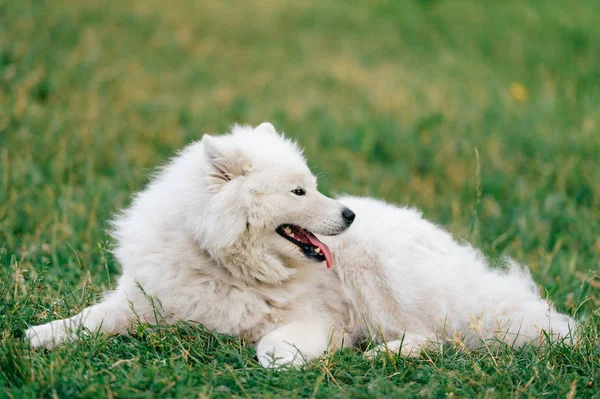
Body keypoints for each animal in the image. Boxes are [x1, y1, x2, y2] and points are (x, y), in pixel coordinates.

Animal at [25, 122, 576, 368]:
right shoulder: (143, 299)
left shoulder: (315, 318)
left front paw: (290, 358)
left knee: (441, 336)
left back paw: (383, 352)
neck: (224, 264)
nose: (349, 215)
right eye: (298, 192)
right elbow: (88, 320)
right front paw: (40, 334)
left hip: (387, 275)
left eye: (312, 185)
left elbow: (272, 346)